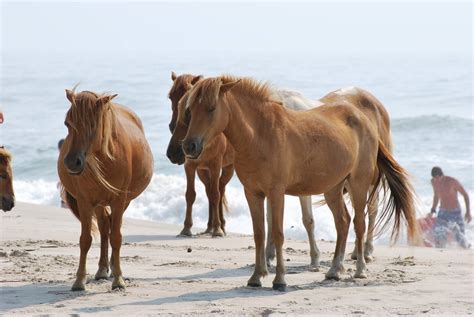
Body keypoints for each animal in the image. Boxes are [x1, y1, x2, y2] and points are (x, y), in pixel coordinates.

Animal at [57, 87, 154, 290]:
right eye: (67, 123)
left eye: (93, 125)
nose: (72, 162)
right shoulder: (85, 201)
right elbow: (85, 240)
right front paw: (79, 280)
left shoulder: (119, 200)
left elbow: (116, 237)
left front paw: (118, 279)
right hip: (98, 203)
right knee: (103, 227)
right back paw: (102, 269)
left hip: (124, 201)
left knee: (110, 228)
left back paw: (111, 267)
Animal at [167, 72, 235, 235]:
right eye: (171, 97)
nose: (172, 126)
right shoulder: (190, 166)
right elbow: (190, 195)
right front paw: (186, 228)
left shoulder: (216, 165)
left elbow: (216, 195)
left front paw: (218, 229)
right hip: (203, 171)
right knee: (209, 191)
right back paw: (209, 226)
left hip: (227, 169)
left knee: (219, 190)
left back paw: (220, 225)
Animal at [181, 75, 418, 290]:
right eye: (190, 108)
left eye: (211, 108)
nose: (189, 146)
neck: (260, 135)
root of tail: (364, 118)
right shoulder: (253, 193)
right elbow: (259, 234)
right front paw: (256, 278)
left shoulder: (276, 192)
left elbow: (277, 234)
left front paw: (279, 280)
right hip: (333, 188)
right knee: (342, 222)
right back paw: (333, 271)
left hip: (358, 184)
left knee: (360, 223)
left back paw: (360, 269)